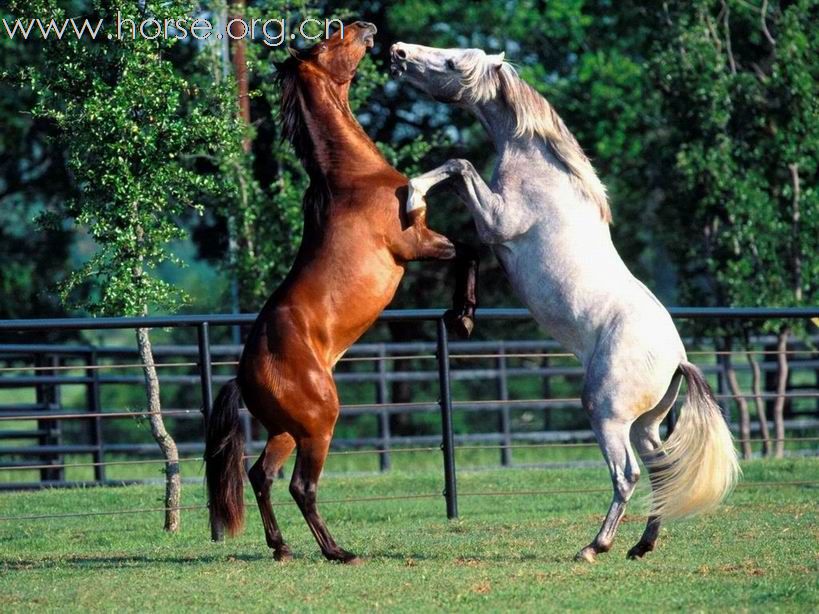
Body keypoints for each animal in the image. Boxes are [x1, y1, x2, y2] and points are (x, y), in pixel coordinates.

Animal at [203, 21, 480, 564]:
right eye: (328, 42)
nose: (364, 25)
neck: (353, 177)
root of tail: (243, 375)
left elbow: (468, 250)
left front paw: (462, 315)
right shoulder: (414, 244)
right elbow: (469, 246)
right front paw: (462, 314)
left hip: (287, 430)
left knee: (260, 476)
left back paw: (282, 548)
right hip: (319, 424)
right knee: (300, 486)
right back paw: (338, 551)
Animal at [392, 42, 744, 564]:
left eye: (453, 62)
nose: (397, 52)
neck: (542, 169)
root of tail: (677, 358)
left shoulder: (498, 220)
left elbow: (458, 166)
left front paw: (412, 194)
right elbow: (458, 183)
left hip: (607, 413)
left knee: (628, 474)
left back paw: (595, 547)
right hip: (645, 424)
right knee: (661, 469)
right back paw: (641, 545)